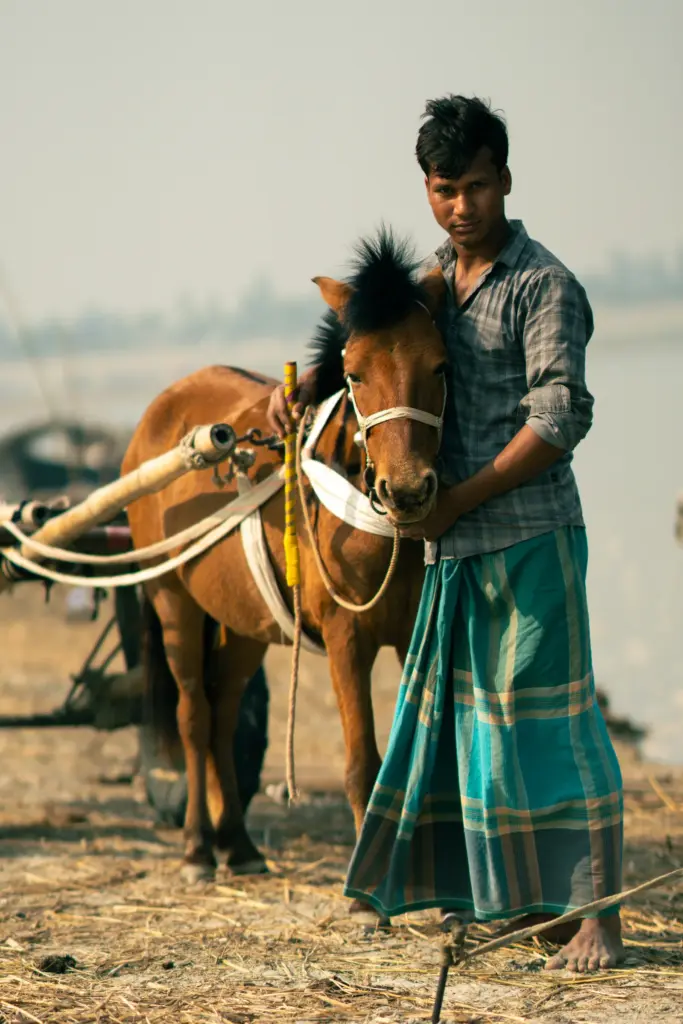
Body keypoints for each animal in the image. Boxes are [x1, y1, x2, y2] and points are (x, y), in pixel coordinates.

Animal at [123, 230, 448, 883]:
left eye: (440, 364)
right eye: (354, 373)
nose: (407, 490)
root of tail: (159, 411)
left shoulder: (410, 631)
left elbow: (413, 765)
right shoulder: (347, 637)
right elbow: (363, 765)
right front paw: (366, 893)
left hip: (245, 619)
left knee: (224, 712)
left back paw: (237, 842)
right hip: (173, 600)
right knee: (194, 717)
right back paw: (198, 846)